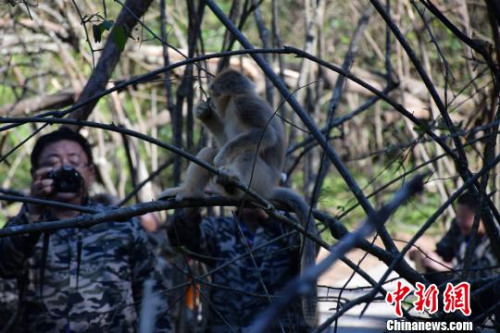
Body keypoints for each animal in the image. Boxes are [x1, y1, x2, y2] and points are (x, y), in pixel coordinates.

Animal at [162, 68, 318, 326]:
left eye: (215, 93)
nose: (210, 99)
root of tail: (269, 189)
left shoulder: (244, 105)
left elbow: (264, 135)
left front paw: (223, 158)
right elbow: (223, 141)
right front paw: (204, 114)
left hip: (260, 179)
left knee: (248, 153)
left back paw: (233, 181)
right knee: (210, 151)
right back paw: (189, 192)